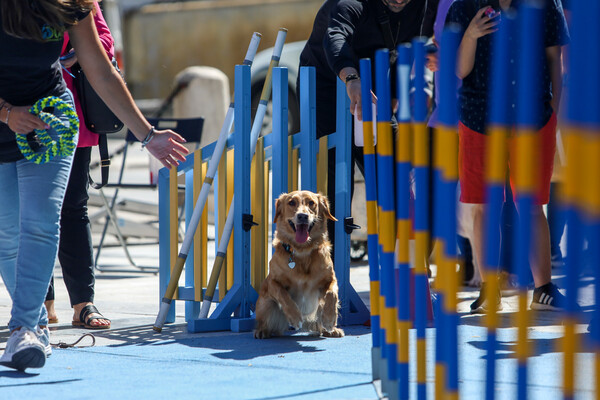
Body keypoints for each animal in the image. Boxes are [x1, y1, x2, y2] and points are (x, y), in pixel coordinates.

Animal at [253, 191, 344, 338]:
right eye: (291, 202)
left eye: (311, 203)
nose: (302, 216)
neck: (302, 251)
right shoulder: (272, 281)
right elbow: (283, 295)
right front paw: (295, 317)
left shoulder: (331, 279)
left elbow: (331, 294)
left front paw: (330, 320)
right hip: (265, 304)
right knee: (265, 322)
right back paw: (262, 331)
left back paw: (330, 330)